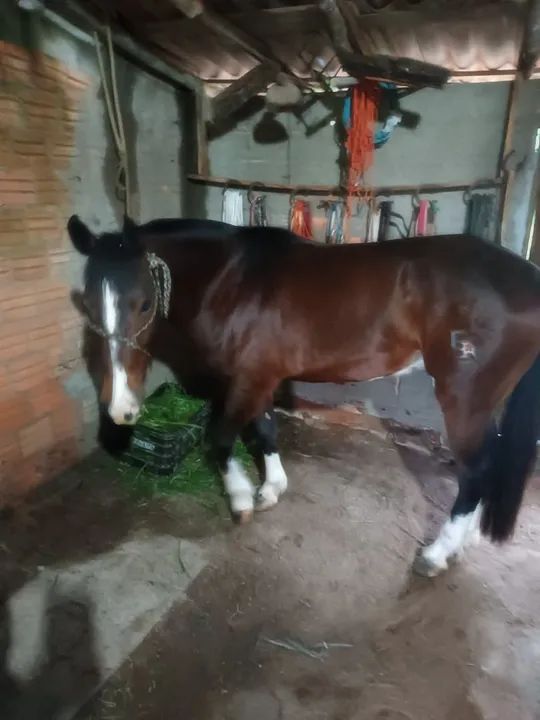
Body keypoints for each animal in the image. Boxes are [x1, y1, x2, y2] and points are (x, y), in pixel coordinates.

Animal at [68, 214, 540, 578]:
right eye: (88, 304)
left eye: (144, 304)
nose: (121, 409)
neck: (232, 282)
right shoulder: (259, 376)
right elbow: (264, 430)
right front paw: (270, 489)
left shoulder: (248, 378)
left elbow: (219, 440)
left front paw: (241, 499)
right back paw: (465, 542)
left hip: (465, 396)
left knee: (475, 471)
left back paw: (438, 554)